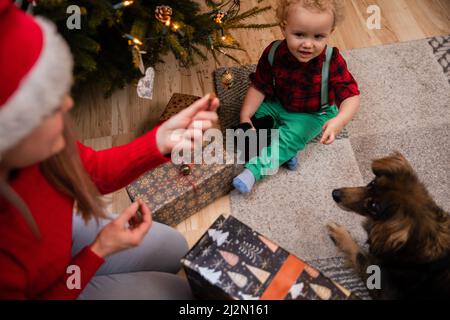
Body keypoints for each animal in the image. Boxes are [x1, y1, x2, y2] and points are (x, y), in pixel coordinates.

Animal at [326, 151, 450, 298]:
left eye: (373, 206)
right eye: (372, 183)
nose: (335, 194)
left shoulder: (382, 288)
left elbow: (359, 254)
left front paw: (340, 234)